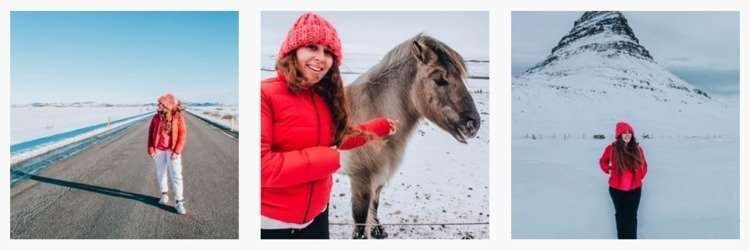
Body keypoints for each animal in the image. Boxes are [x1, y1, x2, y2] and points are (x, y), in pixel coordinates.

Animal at [342, 33, 482, 239]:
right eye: (439, 79)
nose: (474, 124)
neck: (373, 113)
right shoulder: (361, 181)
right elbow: (360, 223)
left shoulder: (378, 179)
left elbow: (374, 207)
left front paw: (377, 231)